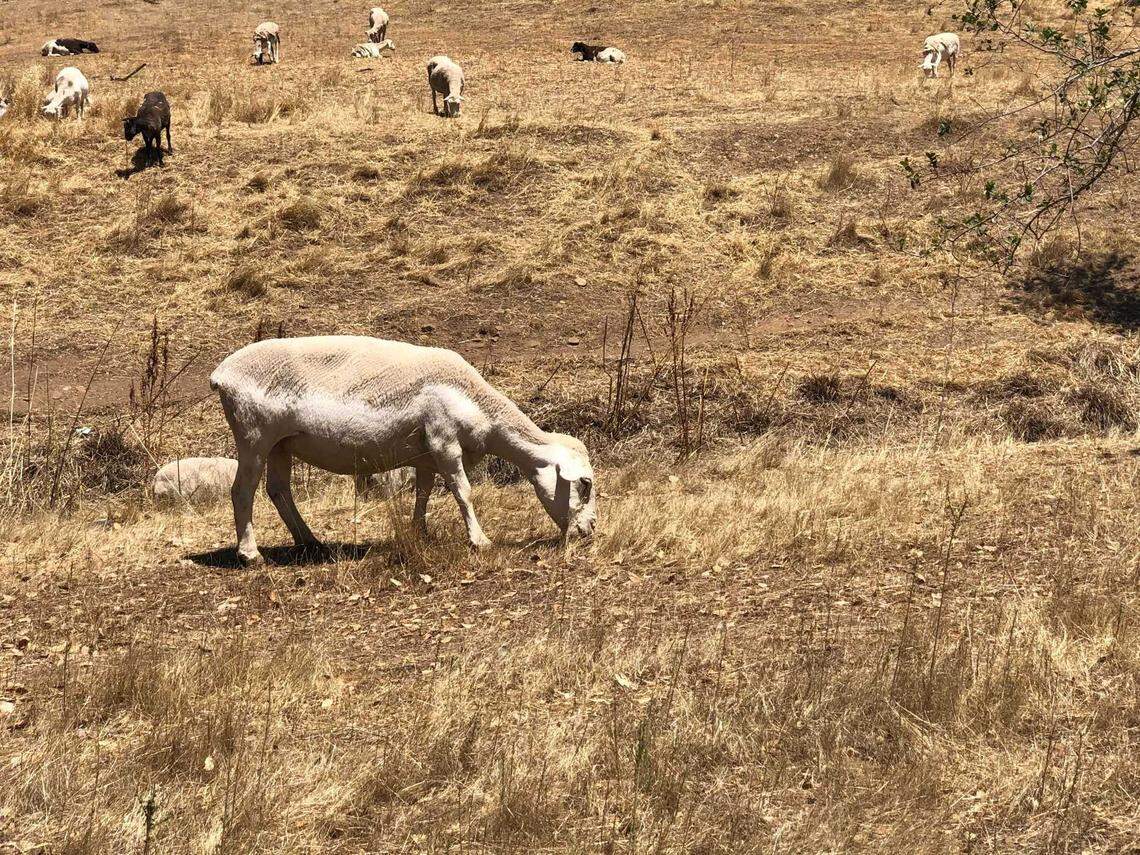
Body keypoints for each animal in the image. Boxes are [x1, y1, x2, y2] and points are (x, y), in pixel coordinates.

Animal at [209, 336, 597, 565]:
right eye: (585, 483)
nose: (590, 529)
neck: (475, 402)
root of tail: (221, 374)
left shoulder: (426, 454)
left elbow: (424, 492)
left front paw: (420, 534)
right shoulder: (444, 441)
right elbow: (463, 491)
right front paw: (480, 540)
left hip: (281, 443)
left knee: (279, 490)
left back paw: (311, 542)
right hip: (253, 435)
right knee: (242, 491)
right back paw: (250, 554)